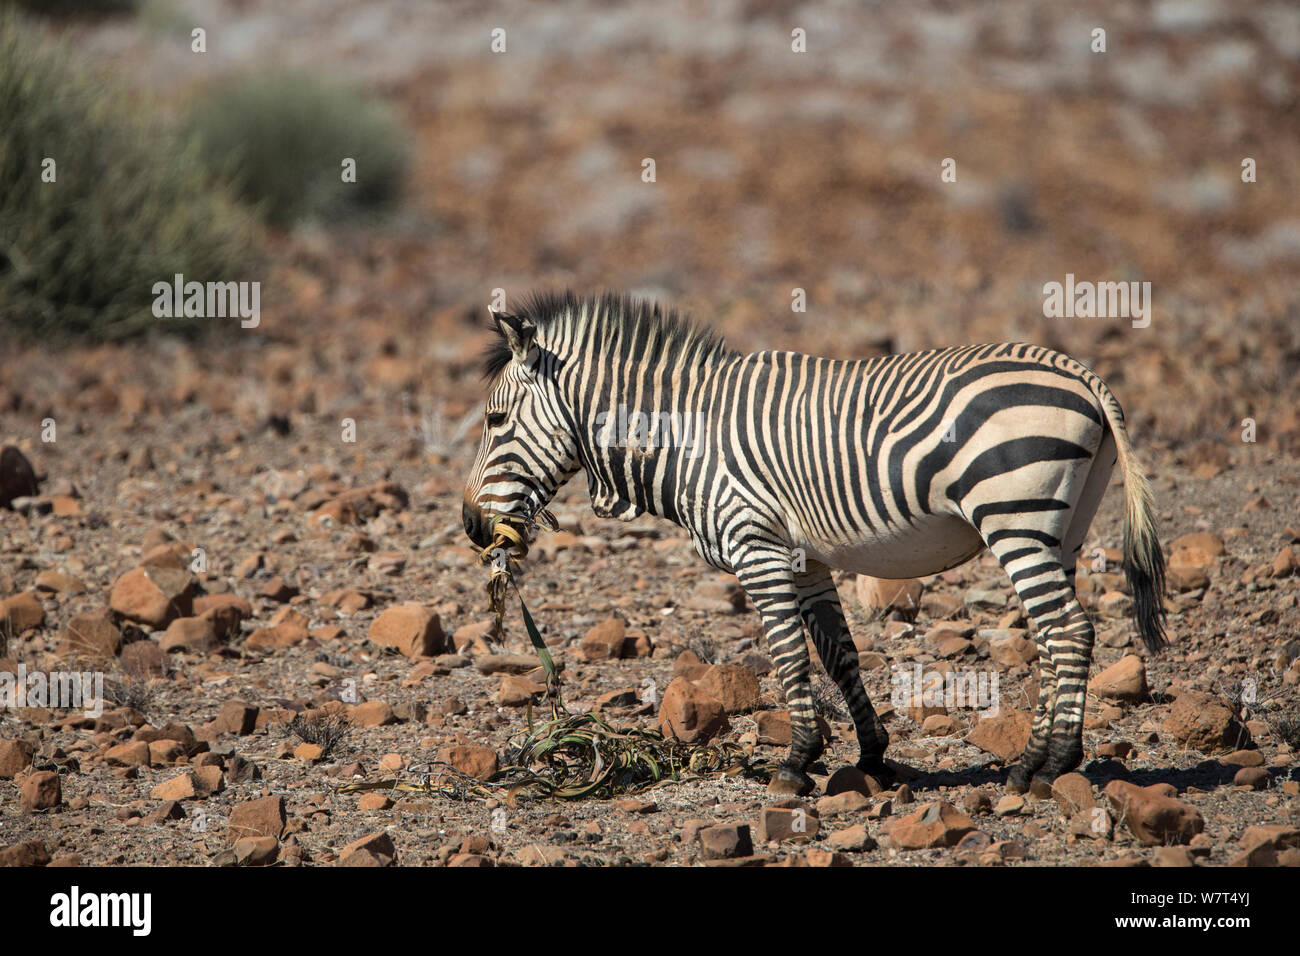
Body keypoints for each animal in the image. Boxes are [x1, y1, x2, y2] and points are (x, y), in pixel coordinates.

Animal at [465, 291, 1170, 801]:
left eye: (496, 420)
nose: (473, 529)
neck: (684, 435)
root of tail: (1077, 371)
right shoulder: (806, 559)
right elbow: (838, 653)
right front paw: (872, 755)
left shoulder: (756, 545)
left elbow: (786, 654)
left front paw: (796, 761)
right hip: (1061, 527)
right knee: (1054, 634)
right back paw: (1038, 759)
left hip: (1013, 516)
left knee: (1069, 630)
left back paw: (1048, 766)